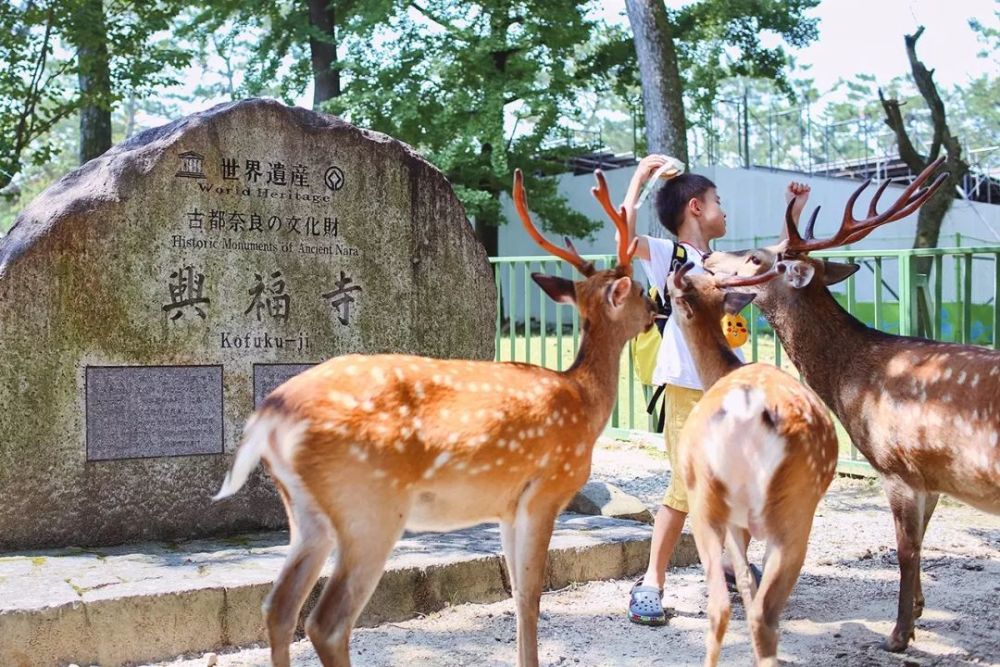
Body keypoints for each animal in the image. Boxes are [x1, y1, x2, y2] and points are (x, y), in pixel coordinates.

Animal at [213, 170, 656, 664]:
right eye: (638, 290)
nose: (657, 308)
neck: (584, 400)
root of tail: (270, 414)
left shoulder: (507, 506)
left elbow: (517, 596)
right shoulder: (545, 490)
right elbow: (532, 597)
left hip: (306, 512)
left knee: (278, 606)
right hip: (369, 505)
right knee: (326, 622)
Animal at [664, 264, 844, 664]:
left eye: (674, 290)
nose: (673, 269)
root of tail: (749, 411)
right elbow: (747, 579)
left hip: (710, 500)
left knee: (720, 607)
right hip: (794, 512)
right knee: (763, 613)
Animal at [704, 157, 1000, 652]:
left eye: (757, 258)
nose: (708, 257)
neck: (850, 384)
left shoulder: (898, 464)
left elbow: (906, 550)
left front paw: (898, 635)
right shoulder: (933, 475)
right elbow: (922, 540)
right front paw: (918, 611)